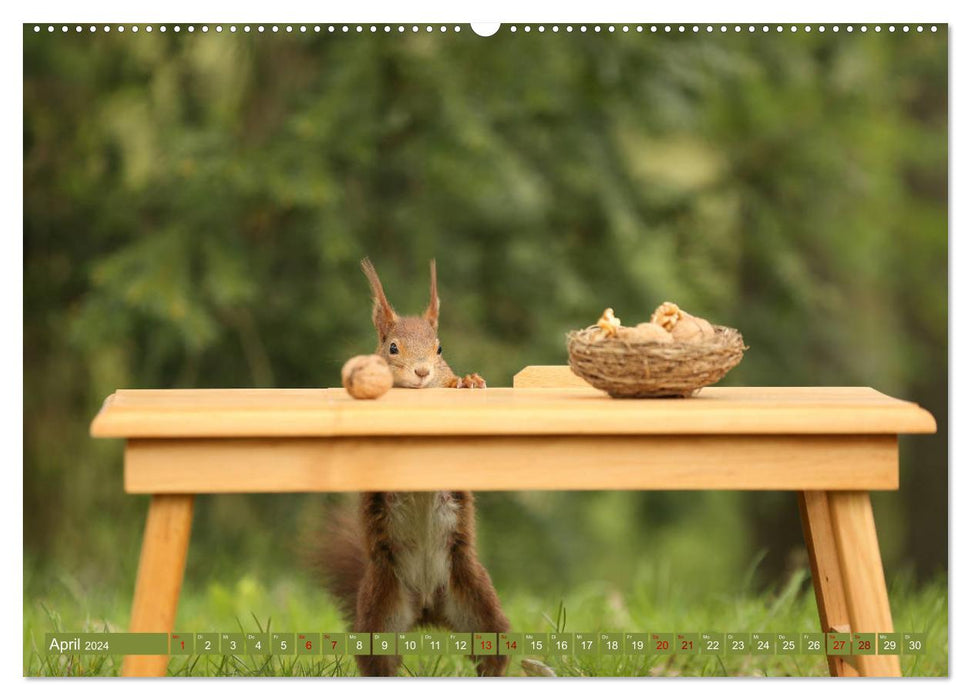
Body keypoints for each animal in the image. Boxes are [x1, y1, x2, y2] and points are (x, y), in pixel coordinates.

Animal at [316, 260, 512, 676]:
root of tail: (426, 608)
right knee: (379, 663)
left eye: (439, 348)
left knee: (493, 650)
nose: (422, 372)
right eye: (392, 347)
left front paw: (468, 381)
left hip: (475, 597)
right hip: (381, 608)